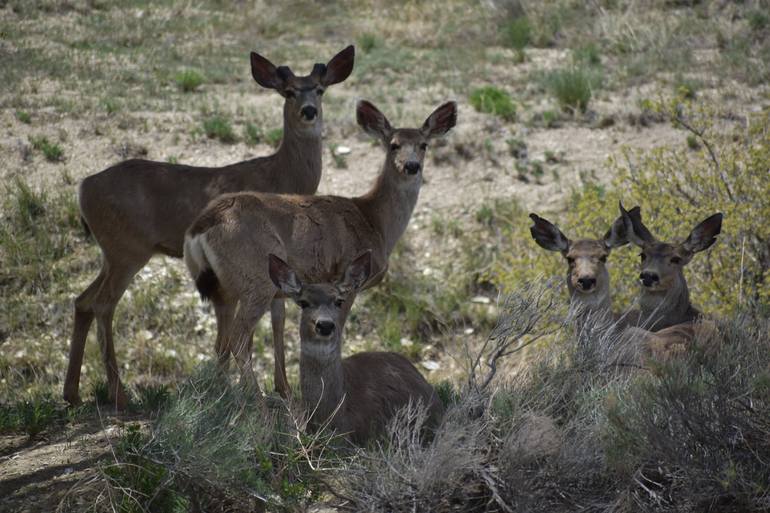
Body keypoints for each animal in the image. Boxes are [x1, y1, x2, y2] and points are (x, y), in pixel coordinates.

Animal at [61, 45, 356, 408]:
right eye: (288, 92)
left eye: (320, 89)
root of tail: (83, 189)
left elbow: (276, 317)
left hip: (111, 253)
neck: (282, 175)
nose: (309, 111)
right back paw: (119, 394)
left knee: (83, 301)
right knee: (103, 304)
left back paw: (72, 393)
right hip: (127, 250)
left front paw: (281, 387)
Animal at [182, 99, 456, 396]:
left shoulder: (284, 292)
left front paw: (285, 390)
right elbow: (337, 331)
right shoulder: (345, 281)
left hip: (226, 287)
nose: (411, 166)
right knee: (238, 339)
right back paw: (254, 398)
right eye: (393, 144)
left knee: (222, 342)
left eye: (423, 144)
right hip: (255, 277)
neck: (375, 221)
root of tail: (200, 226)